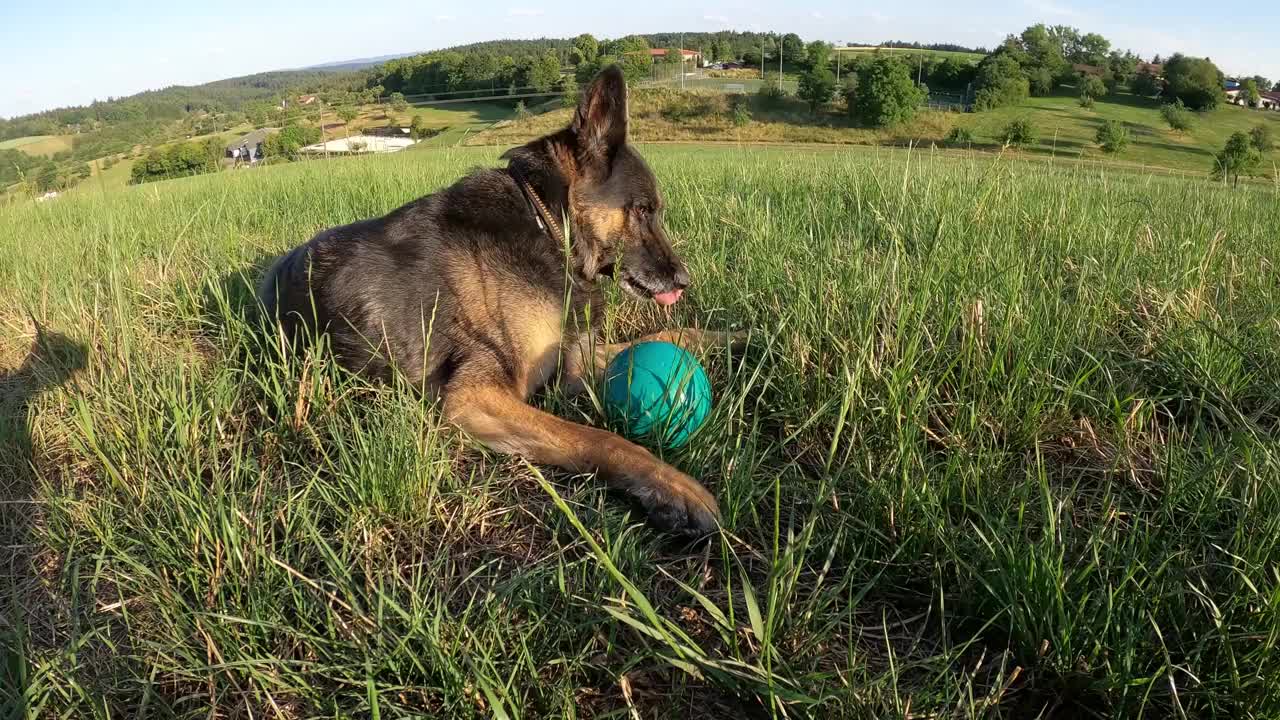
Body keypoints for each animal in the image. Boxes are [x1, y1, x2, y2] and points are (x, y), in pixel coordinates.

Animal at [257, 67, 742, 535]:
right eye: (642, 210)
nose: (685, 280)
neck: (548, 226)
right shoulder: (474, 398)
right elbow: (597, 438)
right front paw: (675, 487)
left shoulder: (573, 362)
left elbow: (669, 333)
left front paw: (734, 337)